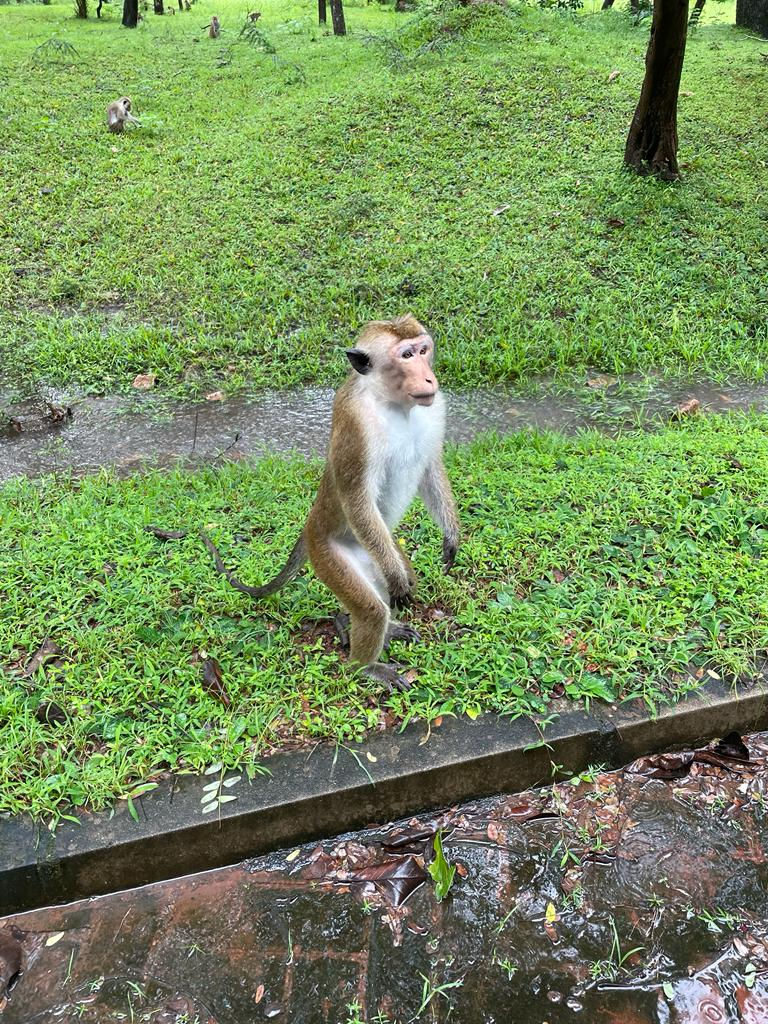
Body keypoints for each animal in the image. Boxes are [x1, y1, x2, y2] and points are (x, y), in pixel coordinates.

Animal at [201, 315, 460, 694]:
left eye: (423, 350)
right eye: (406, 355)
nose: (429, 377)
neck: (393, 404)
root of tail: (309, 527)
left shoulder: (435, 407)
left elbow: (430, 468)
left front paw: (451, 537)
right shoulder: (357, 425)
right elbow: (356, 499)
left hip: (375, 551)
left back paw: (374, 625)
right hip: (329, 555)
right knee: (371, 608)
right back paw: (365, 666)